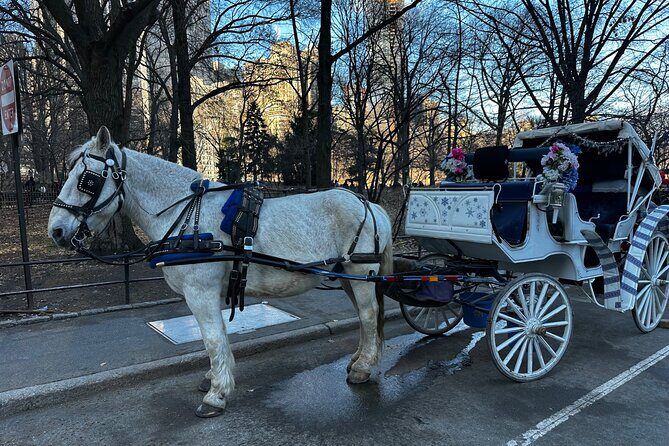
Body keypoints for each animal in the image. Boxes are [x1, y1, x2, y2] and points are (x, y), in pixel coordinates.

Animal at [47, 127, 393, 417]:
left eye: (87, 180)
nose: (56, 231)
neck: (186, 215)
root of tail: (369, 205)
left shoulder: (201, 293)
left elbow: (212, 339)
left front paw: (216, 395)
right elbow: (216, 338)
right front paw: (215, 378)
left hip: (360, 273)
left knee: (368, 314)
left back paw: (363, 368)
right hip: (350, 277)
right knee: (364, 317)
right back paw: (358, 359)